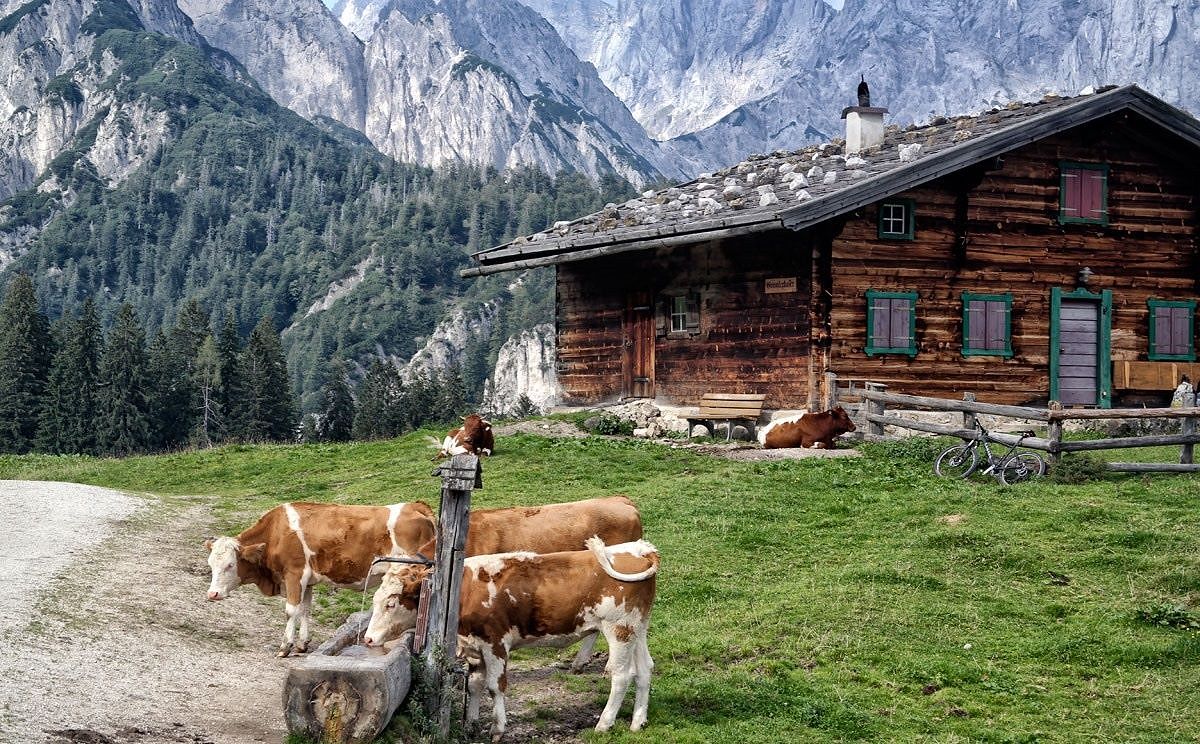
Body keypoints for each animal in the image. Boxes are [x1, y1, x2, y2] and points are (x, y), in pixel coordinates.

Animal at [205, 499, 436, 657]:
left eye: (230, 565)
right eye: (210, 565)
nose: (212, 594)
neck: (276, 533)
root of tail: (414, 505)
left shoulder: (294, 574)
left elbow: (291, 611)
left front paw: (285, 647)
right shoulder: (306, 581)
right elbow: (305, 609)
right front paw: (302, 644)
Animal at [364, 537, 667, 734]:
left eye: (391, 603)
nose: (367, 639)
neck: (464, 589)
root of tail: (639, 549)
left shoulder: (495, 643)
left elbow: (495, 686)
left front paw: (497, 728)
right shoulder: (474, 648)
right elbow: (474, 685)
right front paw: (471, 723)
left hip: (619, 629)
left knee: (621, 675)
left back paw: (604, 724)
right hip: (637, 628)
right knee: (645, 669)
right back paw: (637, 722)